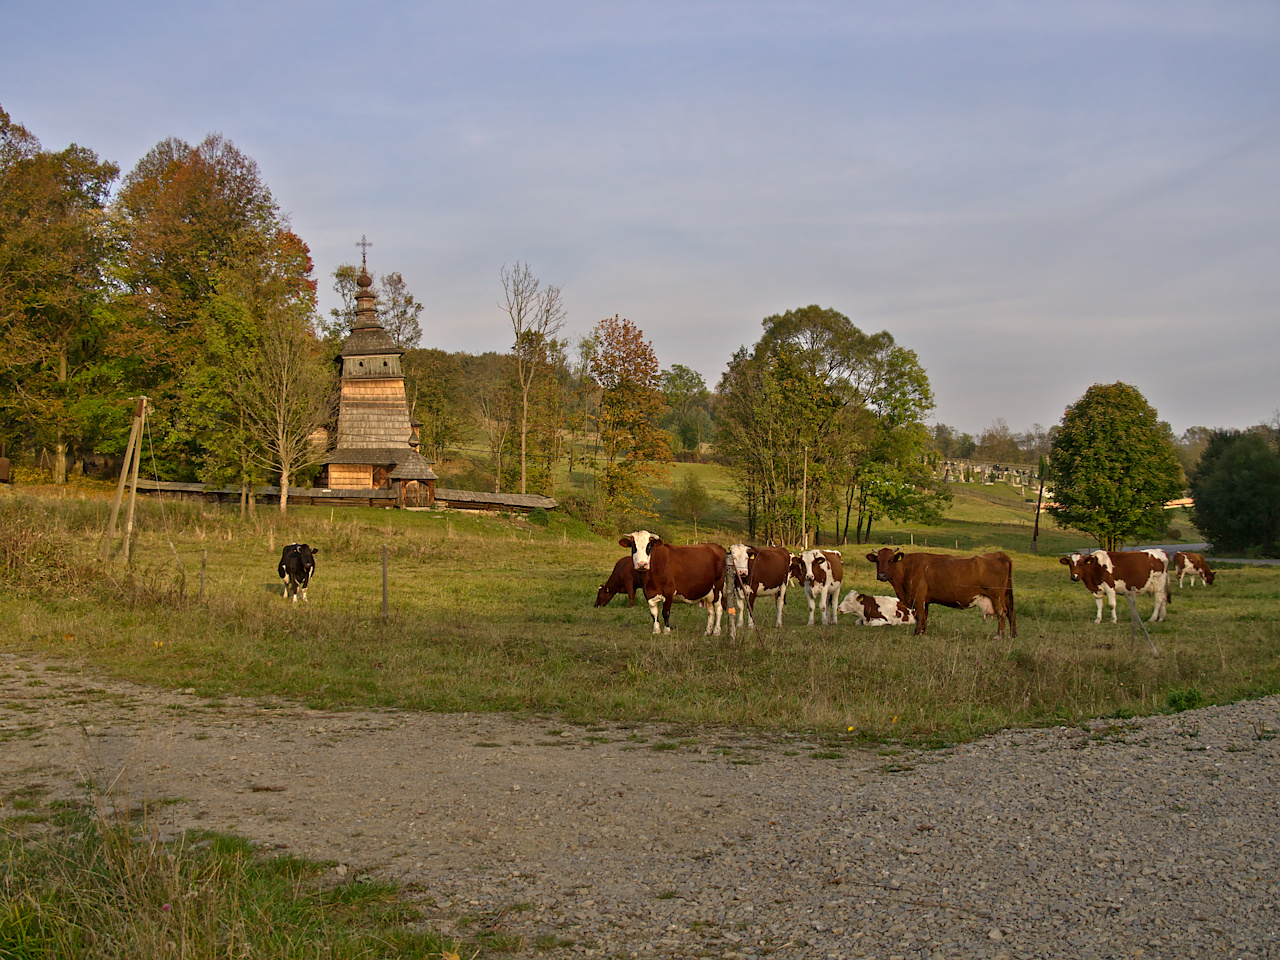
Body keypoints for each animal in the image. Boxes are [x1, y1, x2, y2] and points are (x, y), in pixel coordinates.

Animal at [865, 547, 1013, 640]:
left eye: (890, 560)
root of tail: (999, 555)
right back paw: (1012, 635)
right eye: (878, 561)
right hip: (1005, 595)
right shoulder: (925, 600)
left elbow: (920, 615)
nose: (882, 575)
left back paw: (999, 636)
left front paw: (917, 633)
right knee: (1011, 612)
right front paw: (923, 633)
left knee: (1002, 613)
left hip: (996, 596)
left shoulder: (918, 597)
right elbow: (925, 616)